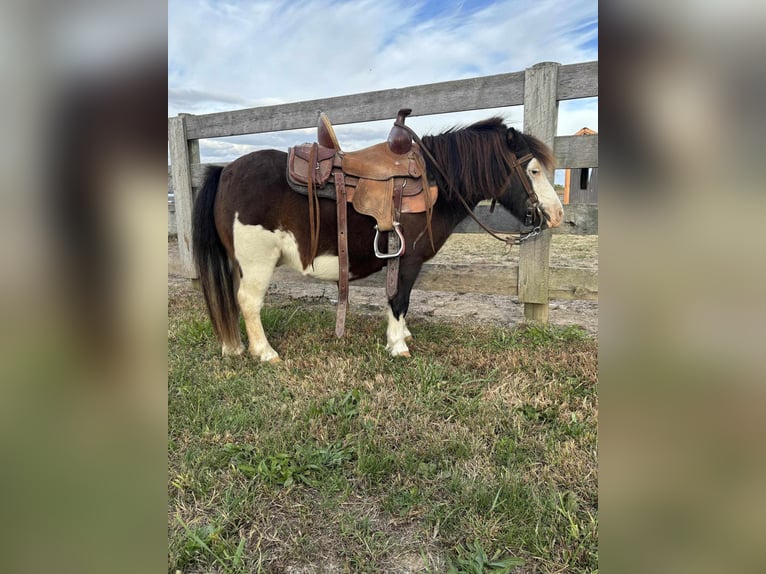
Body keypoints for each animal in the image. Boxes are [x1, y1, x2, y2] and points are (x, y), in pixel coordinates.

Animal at [192, 116, 564, 364]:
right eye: (533, 170)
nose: (557, 214)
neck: (434, 181)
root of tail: (225, 171)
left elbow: (396, 300)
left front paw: (402, 334)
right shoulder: (409, 260)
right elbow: (399, 300)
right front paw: (398, 345)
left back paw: (234, 346)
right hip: (257, 263)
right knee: (249, 302)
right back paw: (265, 352)